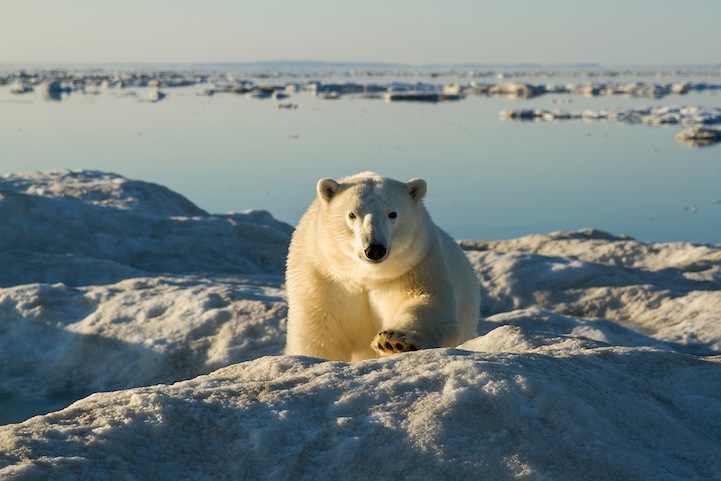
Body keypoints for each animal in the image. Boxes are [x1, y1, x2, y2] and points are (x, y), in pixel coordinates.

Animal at [284, 172, 480, 360]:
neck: (367, 276)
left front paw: (394, 342)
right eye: (352, 214)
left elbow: (427, 301)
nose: (375, 249)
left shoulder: (417, 263)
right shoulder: (324, 276)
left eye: (392, 213)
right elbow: (321, 331)